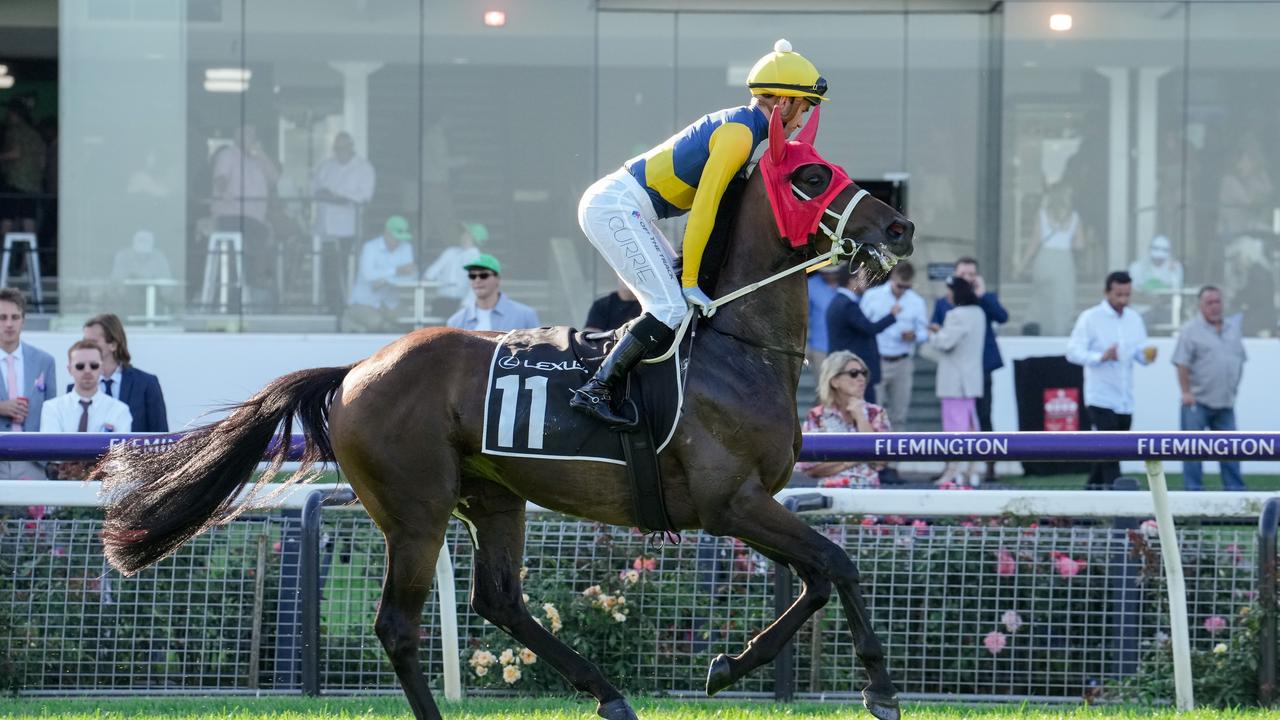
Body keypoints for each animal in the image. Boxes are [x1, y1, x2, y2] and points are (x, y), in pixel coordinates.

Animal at [97, 107, 911, 717]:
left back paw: (608, 693)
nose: (899, 228)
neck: (734, 349)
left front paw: (729, 665)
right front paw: (878, 688)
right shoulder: (728, 502)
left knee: (500, 599)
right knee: (399, 625)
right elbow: (838, 564)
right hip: (417, 509)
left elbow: (817, 579)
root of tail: (355, 370)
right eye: (813, 175)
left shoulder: (753, 504)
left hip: (493, 498)